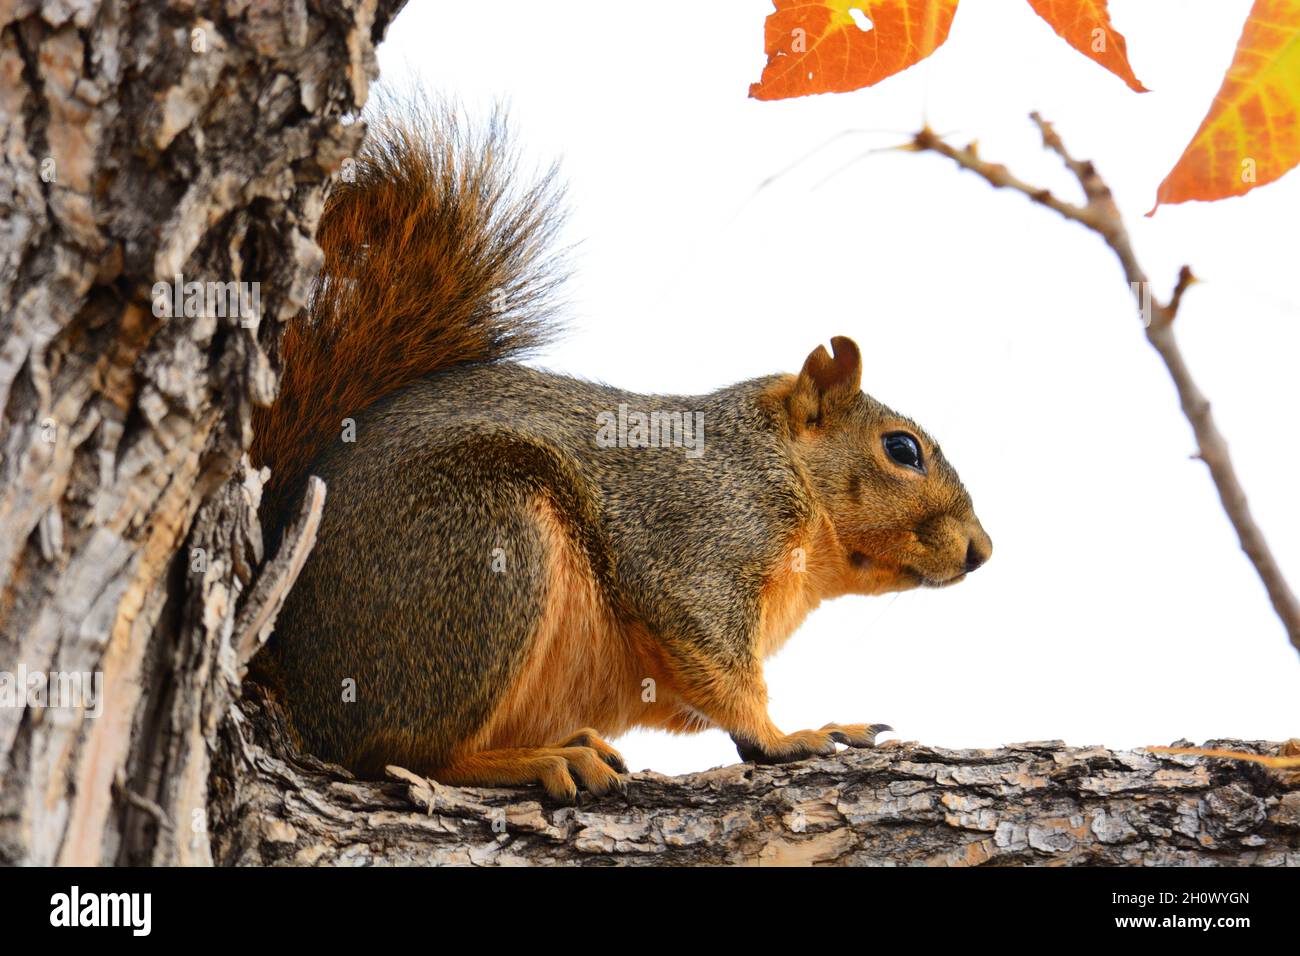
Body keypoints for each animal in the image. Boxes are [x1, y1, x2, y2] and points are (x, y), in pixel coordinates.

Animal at [250, 107, 992, 803]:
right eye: (902, 449)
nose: (982, 551)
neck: (786, 472)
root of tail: (293, 671)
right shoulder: (703, 534)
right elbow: (714, 658)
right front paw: (792, 736)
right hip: (478, 553)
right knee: (399, 751)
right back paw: (537, 759)